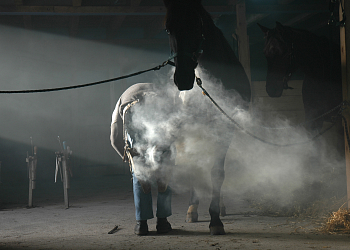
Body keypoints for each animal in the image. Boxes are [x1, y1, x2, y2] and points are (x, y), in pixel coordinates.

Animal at [163, 0, 250, 234]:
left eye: (196, 26)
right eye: (168, 29)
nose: (183, 78)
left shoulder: (225, 128)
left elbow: (218, 172)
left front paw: (216, 219)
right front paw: (196, 210)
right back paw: (194, 208)